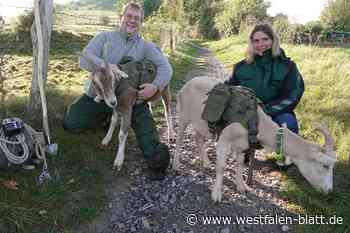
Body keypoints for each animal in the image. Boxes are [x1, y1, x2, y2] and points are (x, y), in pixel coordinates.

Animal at [174, 76, 336, 202]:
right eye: (324, 165)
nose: (329, 191)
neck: (256, 121)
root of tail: (188, 83)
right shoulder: (224, 140)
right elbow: (222, 167)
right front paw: (216, 195)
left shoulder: (241, 146)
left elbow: (239, 165)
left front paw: (242, 187)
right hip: (183, 115)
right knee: (179, 139)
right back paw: (176, 165)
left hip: (200, 123)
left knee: (198, 137)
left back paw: (206, 162)